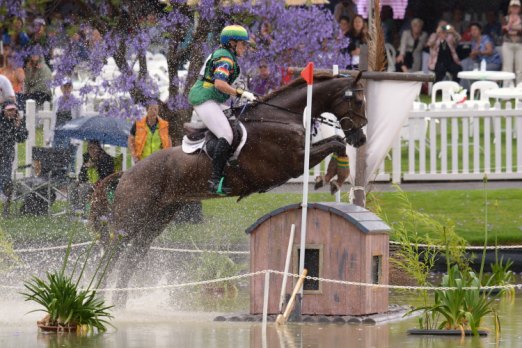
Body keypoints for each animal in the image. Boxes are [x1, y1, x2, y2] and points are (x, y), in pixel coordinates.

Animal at [89, 71, 366, 308]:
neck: (283, 118)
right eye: (358, 101)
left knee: (132, 258)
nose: (361, 139)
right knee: (111, 254)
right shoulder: (293, 163)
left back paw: (120, 303)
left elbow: (336, 141)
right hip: (130, 220)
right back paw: (99, 298)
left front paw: (332, 177)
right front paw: (333, 178)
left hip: (156, 221)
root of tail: (127, 173)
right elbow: (336, 143)